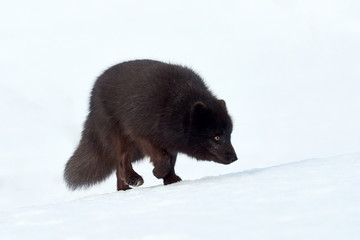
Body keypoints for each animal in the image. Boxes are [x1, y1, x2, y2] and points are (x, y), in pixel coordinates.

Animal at [64, 59, 238, 190]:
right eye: (217, 137)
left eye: (229, 135)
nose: (235, 158)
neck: (175, 106)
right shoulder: (143, 135)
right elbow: (163, 159)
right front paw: (159, 173)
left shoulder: (170, 141)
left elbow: (171, 160)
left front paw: (171, 180)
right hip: (125, 140)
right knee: (121, 160)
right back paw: (132, 179)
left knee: (118, 168)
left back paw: (124, 189)